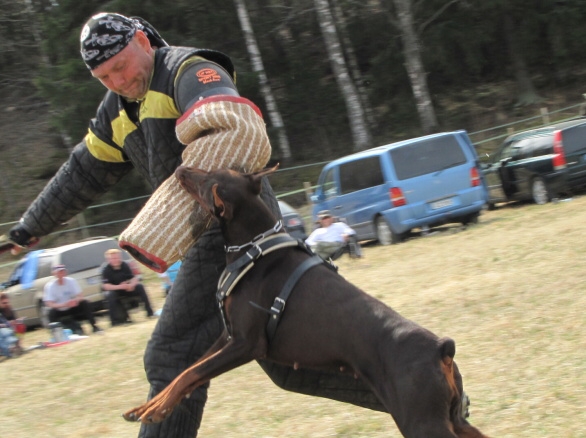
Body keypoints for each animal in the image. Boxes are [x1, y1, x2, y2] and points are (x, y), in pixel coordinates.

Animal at [123, 165, 488, 438]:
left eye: (207, 179)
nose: (181, 169)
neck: (253, 247)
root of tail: (441, 348)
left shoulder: (246, 344)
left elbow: (191, 373)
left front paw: (155, 411)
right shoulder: (227, 336)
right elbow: (186, 371)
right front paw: (147, 407)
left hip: (420, 420)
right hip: (448, 417)